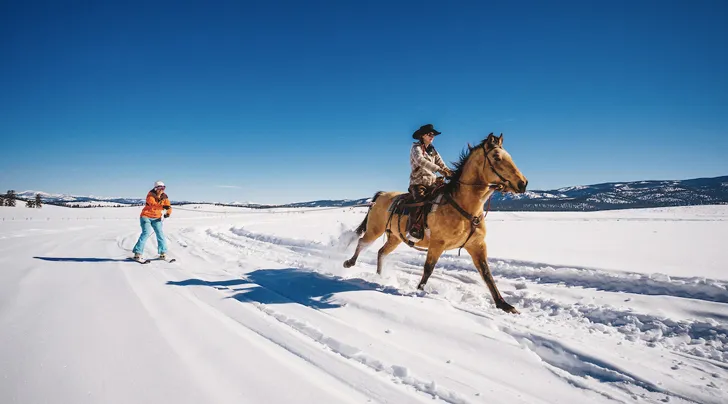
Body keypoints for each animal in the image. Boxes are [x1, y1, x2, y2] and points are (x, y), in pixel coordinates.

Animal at [344, 134, 528, 314]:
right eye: (496, 157)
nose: (523, 183)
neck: (464, 207)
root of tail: (382, 195)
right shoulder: (437, 244)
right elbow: (428, 268)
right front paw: (419, 290)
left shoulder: (477, 245)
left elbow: (486, 273)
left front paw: (504, 305)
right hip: (374, 230)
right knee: (361, 242)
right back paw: (349, 263)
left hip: (395, 237)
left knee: (381, 252)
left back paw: (380, 276)